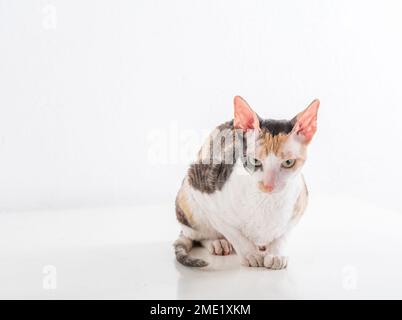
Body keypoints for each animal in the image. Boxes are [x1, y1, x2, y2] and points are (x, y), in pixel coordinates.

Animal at [174, 95, 318, 270]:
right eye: (255, 161)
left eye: (288, 162)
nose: (268, 185)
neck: (267, 201)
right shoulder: (200, 185)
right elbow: (231, 231)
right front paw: (250, 254)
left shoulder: (300, 203)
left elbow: (284, 234)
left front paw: (275, 254)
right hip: (187, 198)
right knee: (197, 234)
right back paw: (218, 243)